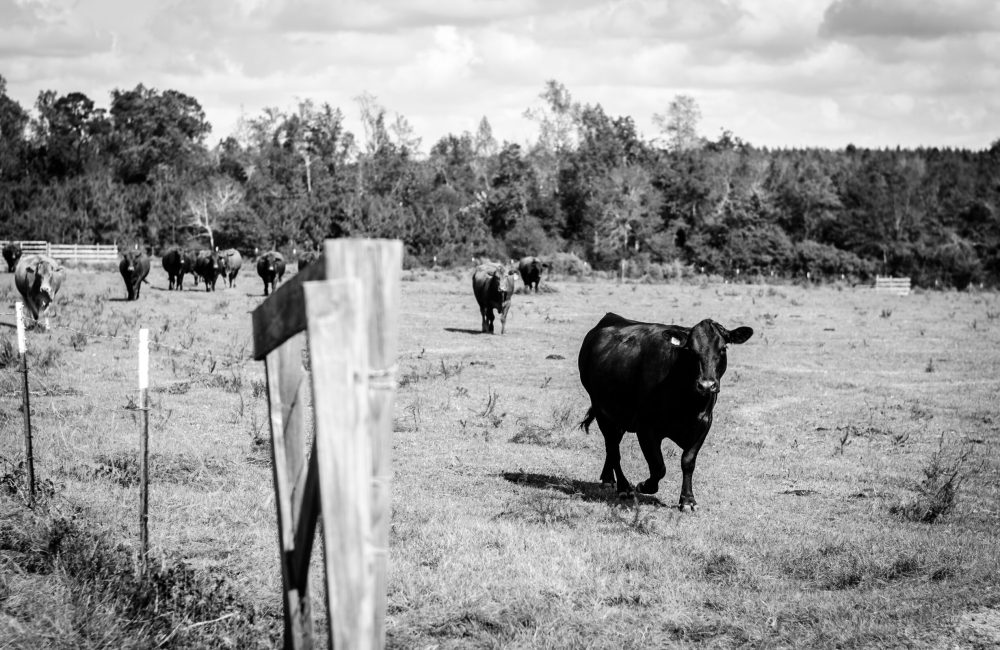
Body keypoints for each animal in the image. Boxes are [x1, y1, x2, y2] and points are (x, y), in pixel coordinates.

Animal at [578, 313, 753, 511]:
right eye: (691, 350)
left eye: (723, 348)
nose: (706, 385)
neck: (688, 402)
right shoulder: (646, 428)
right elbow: (658, 466)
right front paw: (644, 486)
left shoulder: (703, 424)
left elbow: (688, 461)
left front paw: (687, 500)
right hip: (601, 410)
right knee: (613, 448)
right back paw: (624, 487)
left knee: (613, 444)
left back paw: (608, 478)